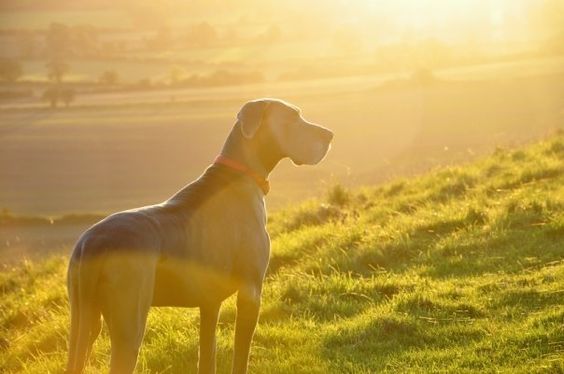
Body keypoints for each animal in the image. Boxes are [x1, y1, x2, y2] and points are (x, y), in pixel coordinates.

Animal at [65, 98, 334, 372]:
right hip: (129, 325)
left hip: (84, 321)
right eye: (293, 118)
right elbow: (241, 356)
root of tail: (93, 243)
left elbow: (207, 355)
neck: (241, 173)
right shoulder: (250, 293)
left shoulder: (209, 304)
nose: (330, 135)